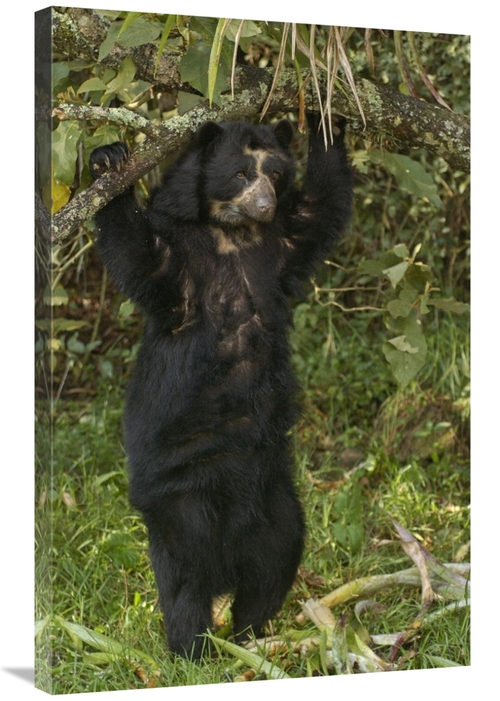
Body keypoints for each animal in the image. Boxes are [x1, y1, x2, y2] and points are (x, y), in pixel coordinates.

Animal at [89, 114, 353, 659]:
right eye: (239, 174)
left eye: (275, 174)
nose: (265, 204)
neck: (233, 233)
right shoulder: (181, 265)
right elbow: (138, 252)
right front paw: (108, 159)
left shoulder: (284, 245)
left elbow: (322, 206)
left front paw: (330, 110)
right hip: (183, 490)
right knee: (187, 575)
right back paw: (195, 650)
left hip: (275, 494)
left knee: (277, 558)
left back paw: (251, 636)